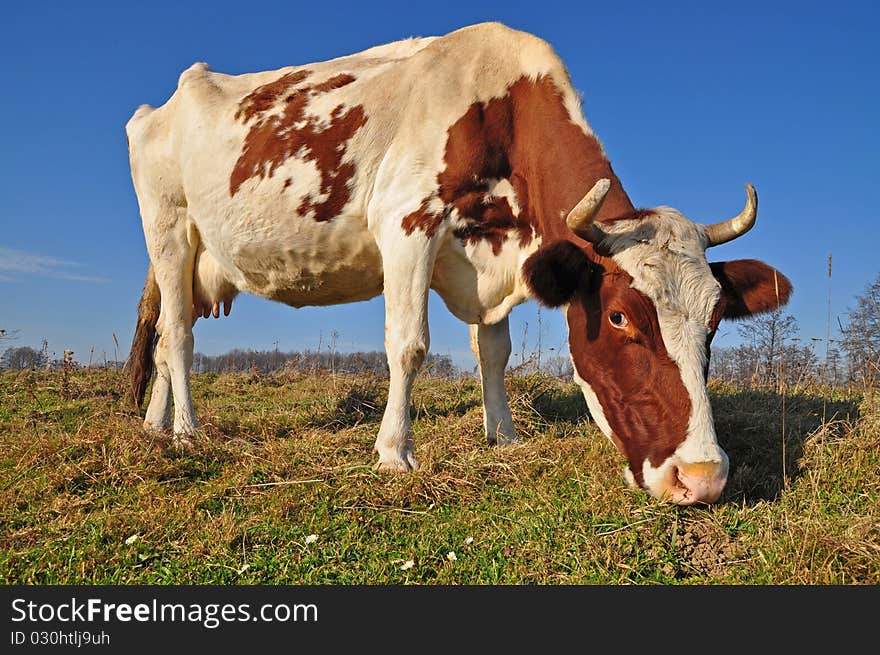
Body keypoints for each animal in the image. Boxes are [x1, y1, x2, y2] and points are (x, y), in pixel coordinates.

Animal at [124, 19, 792, 502]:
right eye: (621, 317)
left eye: (715, 321)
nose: (702, 478)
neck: (499, 108)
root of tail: (162, 104)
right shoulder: (406, 223)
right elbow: (408, 344)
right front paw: (395, 453)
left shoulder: (497, 258)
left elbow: (494, 350)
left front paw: (505, 436)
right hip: (169, 227)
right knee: (177, 332)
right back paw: (186, 432)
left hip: (188, 261)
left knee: (160, 339)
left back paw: (154, 426)